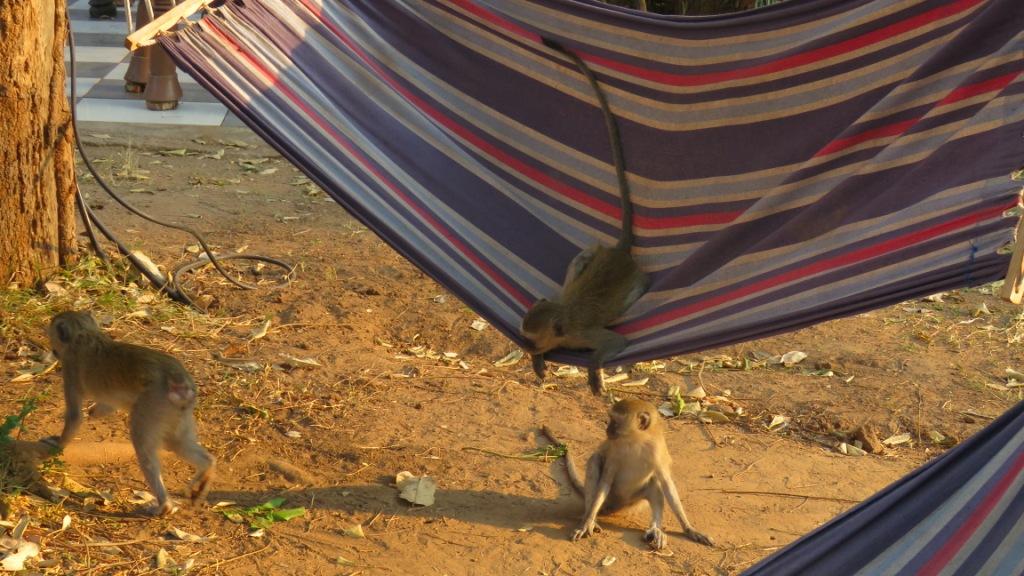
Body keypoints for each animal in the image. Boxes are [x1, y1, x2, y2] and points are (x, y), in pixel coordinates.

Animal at [43, 311, 215, 512]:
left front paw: (58, 444)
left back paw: (164, 505)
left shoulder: (70, 367)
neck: (84, 334)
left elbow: (75, 416)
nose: (54, 351)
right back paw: (207, 466)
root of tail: (177, 378)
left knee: (143, 445)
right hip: (178, 410)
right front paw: (95, 411)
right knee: (175, 443)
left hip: (154, 404)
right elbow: (109, 404)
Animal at [520, 38, 647, 393]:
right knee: (581, 259)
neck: (565, 318)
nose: (524, 348)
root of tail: (619, 252)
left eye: (530, 341)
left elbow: (615, 343)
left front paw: (594, 371)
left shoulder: (584, 334)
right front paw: (538, 363)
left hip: (635, 284)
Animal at [540, 397, 716, 549]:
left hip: (633, 502)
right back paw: (591, 517)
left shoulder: (657, 452)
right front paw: (587, 521)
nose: (607, 430)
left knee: (655, 481)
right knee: (595, 461)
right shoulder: (614, 451)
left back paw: (655, 529)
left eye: (615, 422)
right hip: (610, 500)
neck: (636, 441)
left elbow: (667, 484)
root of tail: (615, 507)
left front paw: (689, 528)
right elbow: (605, 481)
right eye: (610, 419)